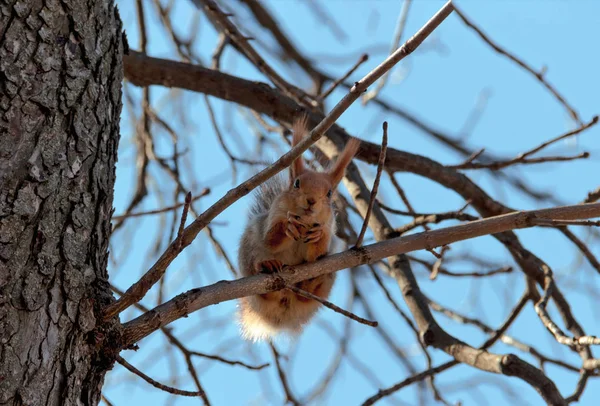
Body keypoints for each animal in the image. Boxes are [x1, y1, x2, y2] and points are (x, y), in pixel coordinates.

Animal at [238, 116, 360, 340]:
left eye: (329, 193)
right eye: (296, 183)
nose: (311, 200)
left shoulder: (329, 224)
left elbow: (316, 255)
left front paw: (319, 234)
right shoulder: (273, 215)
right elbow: (270, 238)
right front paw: (287, 226)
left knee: (307, 295)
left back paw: (312, 281)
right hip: (248, 253)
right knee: (264, 284)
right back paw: (267, 265)